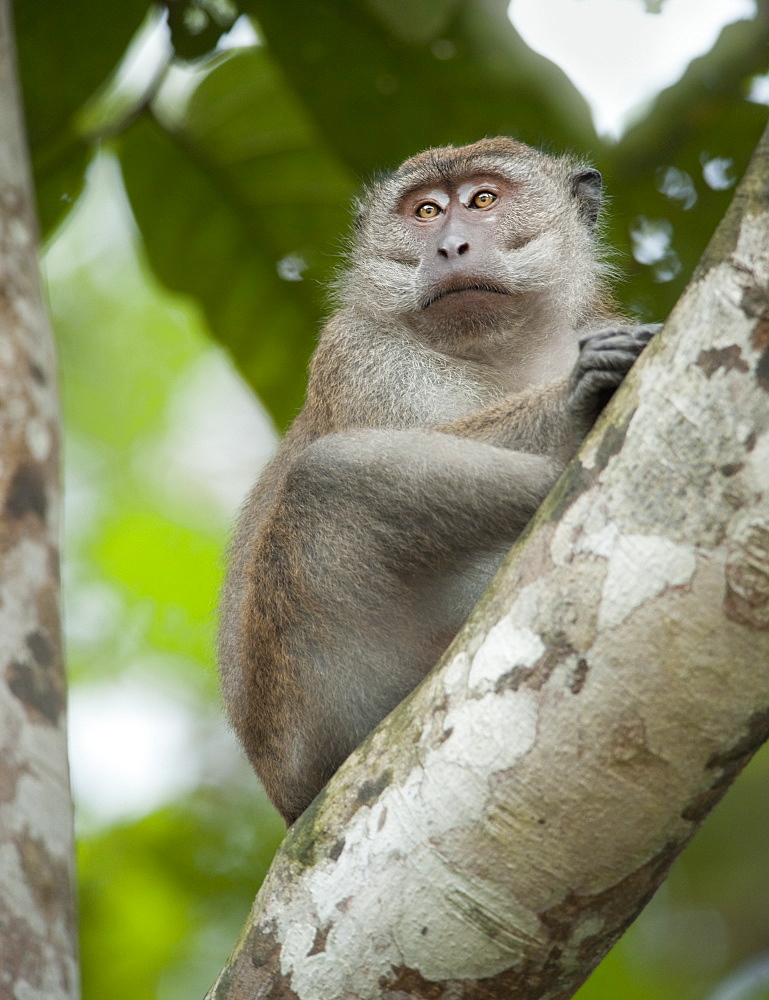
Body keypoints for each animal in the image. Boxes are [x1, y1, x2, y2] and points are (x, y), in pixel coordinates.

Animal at [219, 137, 656, 824]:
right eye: (425, 210)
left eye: (483, 199)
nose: (450, 246)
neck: (500, 350)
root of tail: (285, 797)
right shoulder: (362, 352)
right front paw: (572, 397)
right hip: (317, 706)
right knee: (330, 476)